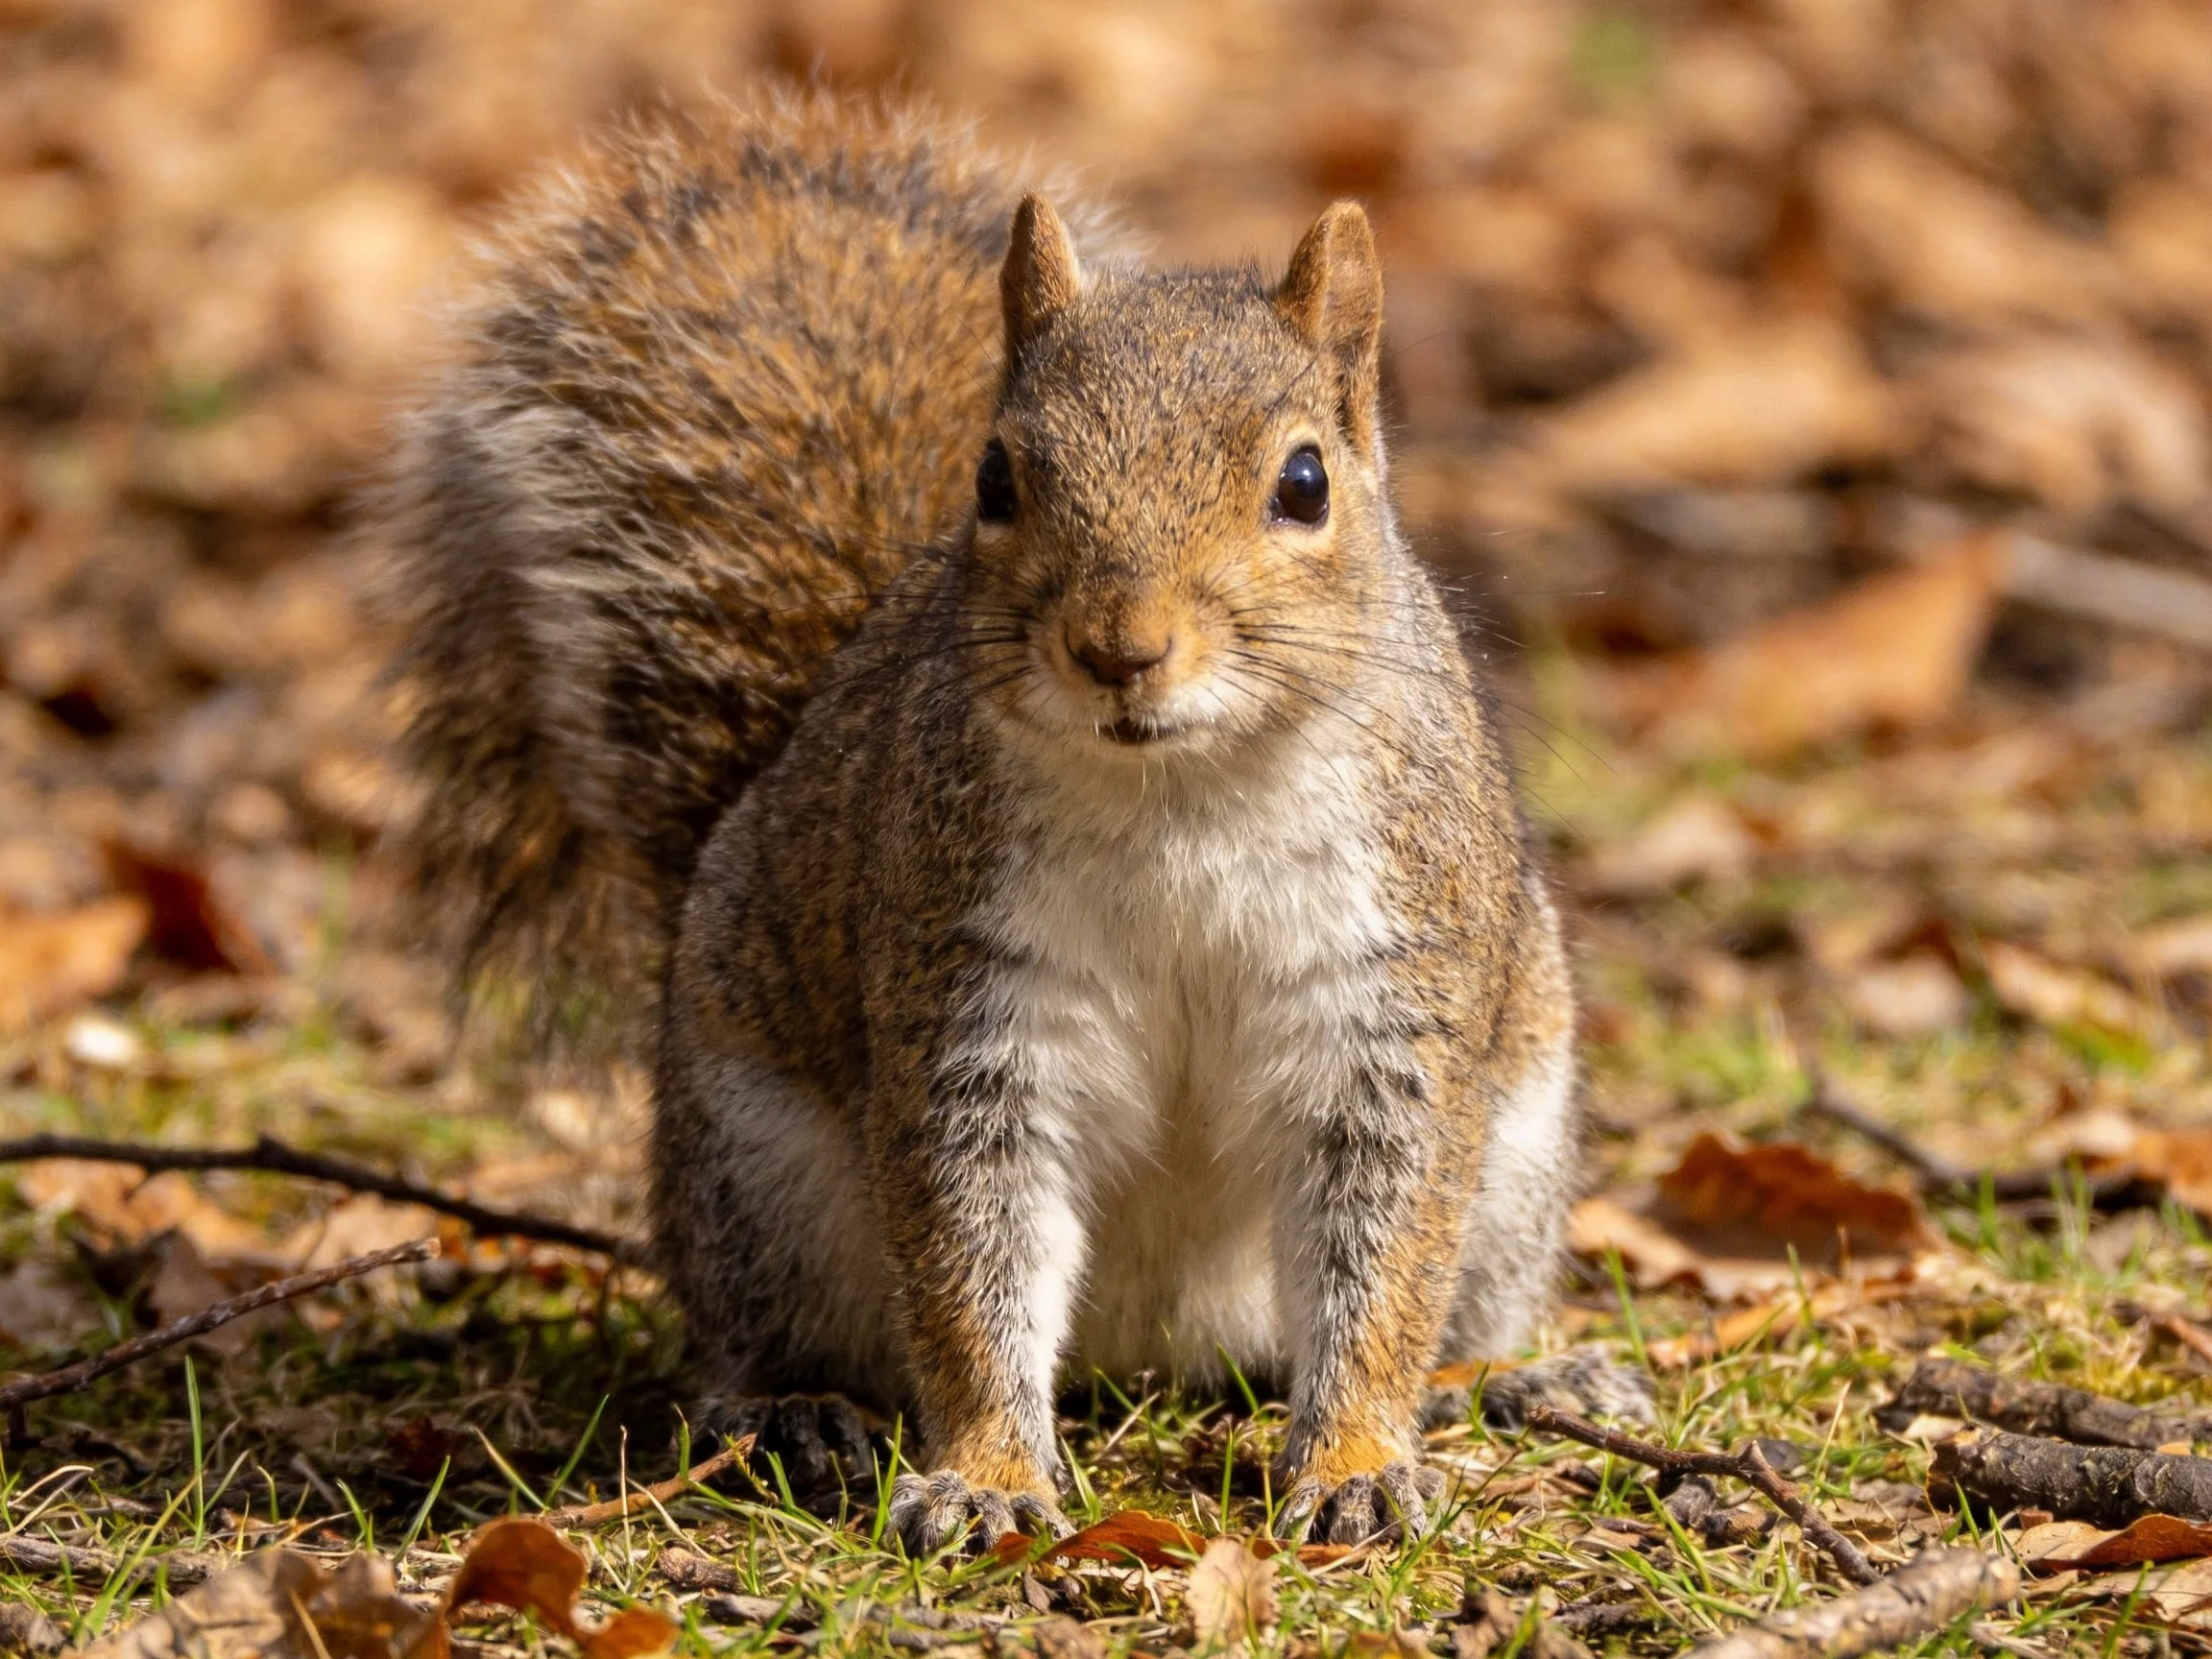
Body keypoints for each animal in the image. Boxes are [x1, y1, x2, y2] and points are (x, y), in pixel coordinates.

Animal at [379, 93, 1626, 1552]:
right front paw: (983, 1476)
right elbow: (970, 1264)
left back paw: (1515, 1375)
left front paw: (1361, 1459)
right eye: (995, 477)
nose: (1118, 649)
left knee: (1442, 1307)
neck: (1180, 795)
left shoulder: (1388, 1005)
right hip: (760, 1176)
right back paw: (794, 1412)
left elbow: (1384, 1265)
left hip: (1518, 1154)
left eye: (1306, 483)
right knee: (747, 1340)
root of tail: (1152, 1356)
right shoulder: (972, 1001)